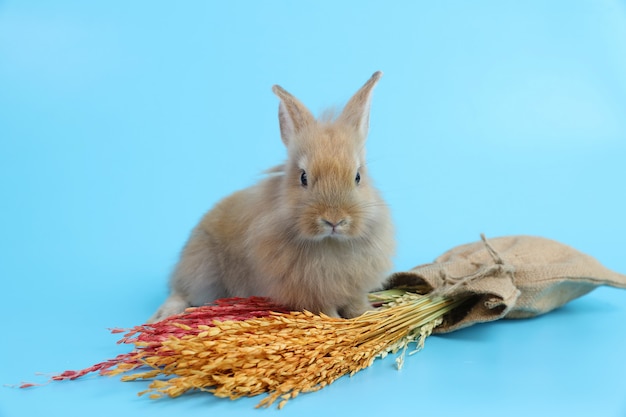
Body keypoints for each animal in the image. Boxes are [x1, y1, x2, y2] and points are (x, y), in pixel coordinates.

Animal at [149, 70, 392, 322]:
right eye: (303, 177)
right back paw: (162, 315)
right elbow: (325, 311)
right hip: (202, 268)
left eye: (358, 176)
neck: (330, 242)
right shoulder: (312, 294)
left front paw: (370, 315)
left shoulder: (354, 289)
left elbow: (356, 304)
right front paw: (336, 324)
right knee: (181, 292)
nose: (334, 220)